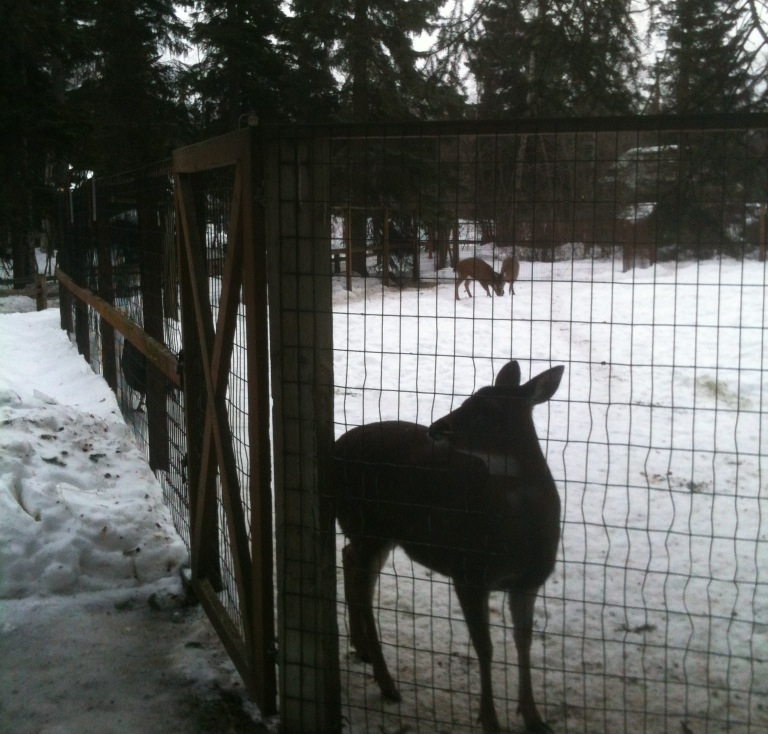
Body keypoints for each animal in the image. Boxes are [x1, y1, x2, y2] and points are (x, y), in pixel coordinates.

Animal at [332, 360, 564, 733]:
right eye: (469, 398)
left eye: (488, 410)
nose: (436, 428)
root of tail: (335, 447)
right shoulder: (468, 571)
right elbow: (485, 647)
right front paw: (490, 720)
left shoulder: (528, 581)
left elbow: (523, 642)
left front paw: (534, 717)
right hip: (367, 524)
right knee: (363, 587)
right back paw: (386, 682)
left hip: (377, 533)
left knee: (349, 558)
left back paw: (363, 649)